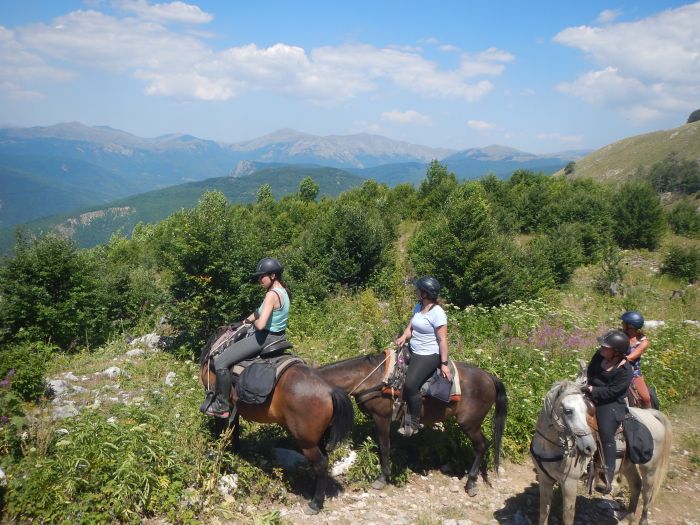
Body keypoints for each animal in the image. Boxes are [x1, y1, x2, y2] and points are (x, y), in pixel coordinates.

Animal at [201, 324, 356, 512]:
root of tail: (329, 391)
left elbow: (221, 430)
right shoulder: (234, 408)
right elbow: (234, 431)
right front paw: (234, 454)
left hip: (306, 441)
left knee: (320, 464)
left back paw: (315, 503)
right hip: (318, 437)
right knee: (324, 460)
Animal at [318, 352, 508, 496]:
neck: (370, 379)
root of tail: (490, 377)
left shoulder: (382, 417)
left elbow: (384, 447)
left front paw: (383, 478)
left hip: (470, 423)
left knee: (482, 445)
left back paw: (471, 483)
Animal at [536, 378, 672, 524]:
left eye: (585, 410)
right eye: (568, 411)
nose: (590, 447)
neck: (548, 446)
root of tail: (651, 414)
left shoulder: (569, 483)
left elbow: (568, 517)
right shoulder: (545, 479)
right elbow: (543, 512)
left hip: (649, 469)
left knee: (647, 493)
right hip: (628, 466)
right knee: (636, 484)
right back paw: (628, 518)